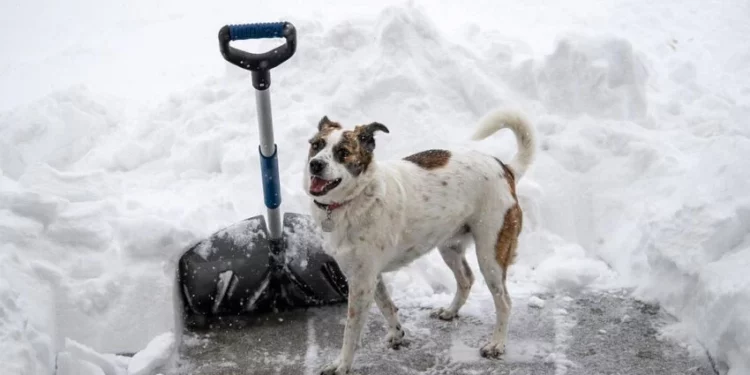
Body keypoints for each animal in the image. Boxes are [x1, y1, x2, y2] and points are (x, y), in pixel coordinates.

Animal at [302, 108, 536, 374]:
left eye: (342, 152)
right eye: (316, 145)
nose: (315, 164)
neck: (355, 198)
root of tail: (505, 168)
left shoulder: (362, 281)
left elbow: (351, 330)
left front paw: (341, 365)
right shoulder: (368, 275)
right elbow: (386, 304)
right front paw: (397, 333)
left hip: (491, 254)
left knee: (504, 301)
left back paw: (496, 344)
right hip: (449, 246)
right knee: (466, 279)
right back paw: (450, 311)